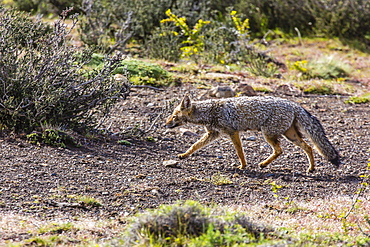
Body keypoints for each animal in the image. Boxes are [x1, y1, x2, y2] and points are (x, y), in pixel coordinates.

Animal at [165, 93, 342, 173]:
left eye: (174, 116)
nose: (165, 124)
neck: (209, 112)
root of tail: (293, 104)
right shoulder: (213, 134)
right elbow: (195, 146)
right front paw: (184, 155)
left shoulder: (232, 132)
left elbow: (239, 151)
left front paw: (243, 166)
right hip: (290, 136)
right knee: (309, 147)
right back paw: (311, 168)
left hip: (268, 134)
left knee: (280, 150)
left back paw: (263, 164)